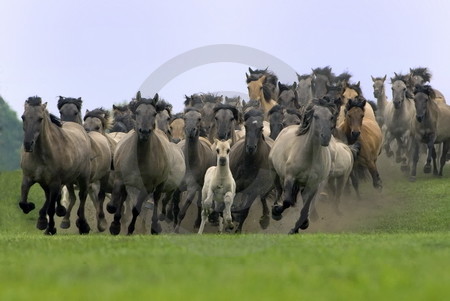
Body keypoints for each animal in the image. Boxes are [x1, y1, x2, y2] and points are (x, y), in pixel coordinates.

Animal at [19, 96, 92, 234]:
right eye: (23, 117)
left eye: (40, 119)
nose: (28, 144)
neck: (41, 155)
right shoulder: (29, 178)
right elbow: (23, 203)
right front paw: (35, 211)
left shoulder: (55, 182)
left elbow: (51, 208)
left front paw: (50, 228)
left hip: (83, 178)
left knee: (82, 196)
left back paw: (83, 225)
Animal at [106, 91, 182, 234]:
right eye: (137, 112)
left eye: (154, 113)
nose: (144, 132)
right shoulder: (120, 178)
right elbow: (114, 204)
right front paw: (115, 225)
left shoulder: (147, 186)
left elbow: (137, 209)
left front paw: (130, 229)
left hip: (159, 186)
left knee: (156, 200)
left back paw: (154, 225)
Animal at [268, 97, 340, 233]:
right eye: (316, 116)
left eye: (331, 117)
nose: (325, 137)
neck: (309, 157)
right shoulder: (290, 177)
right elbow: (287, 201)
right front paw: (277, 211)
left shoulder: (313, 185)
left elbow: (306, 207)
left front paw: (301, 225)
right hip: (275, 172)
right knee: (279, 190)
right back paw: (276, 208)